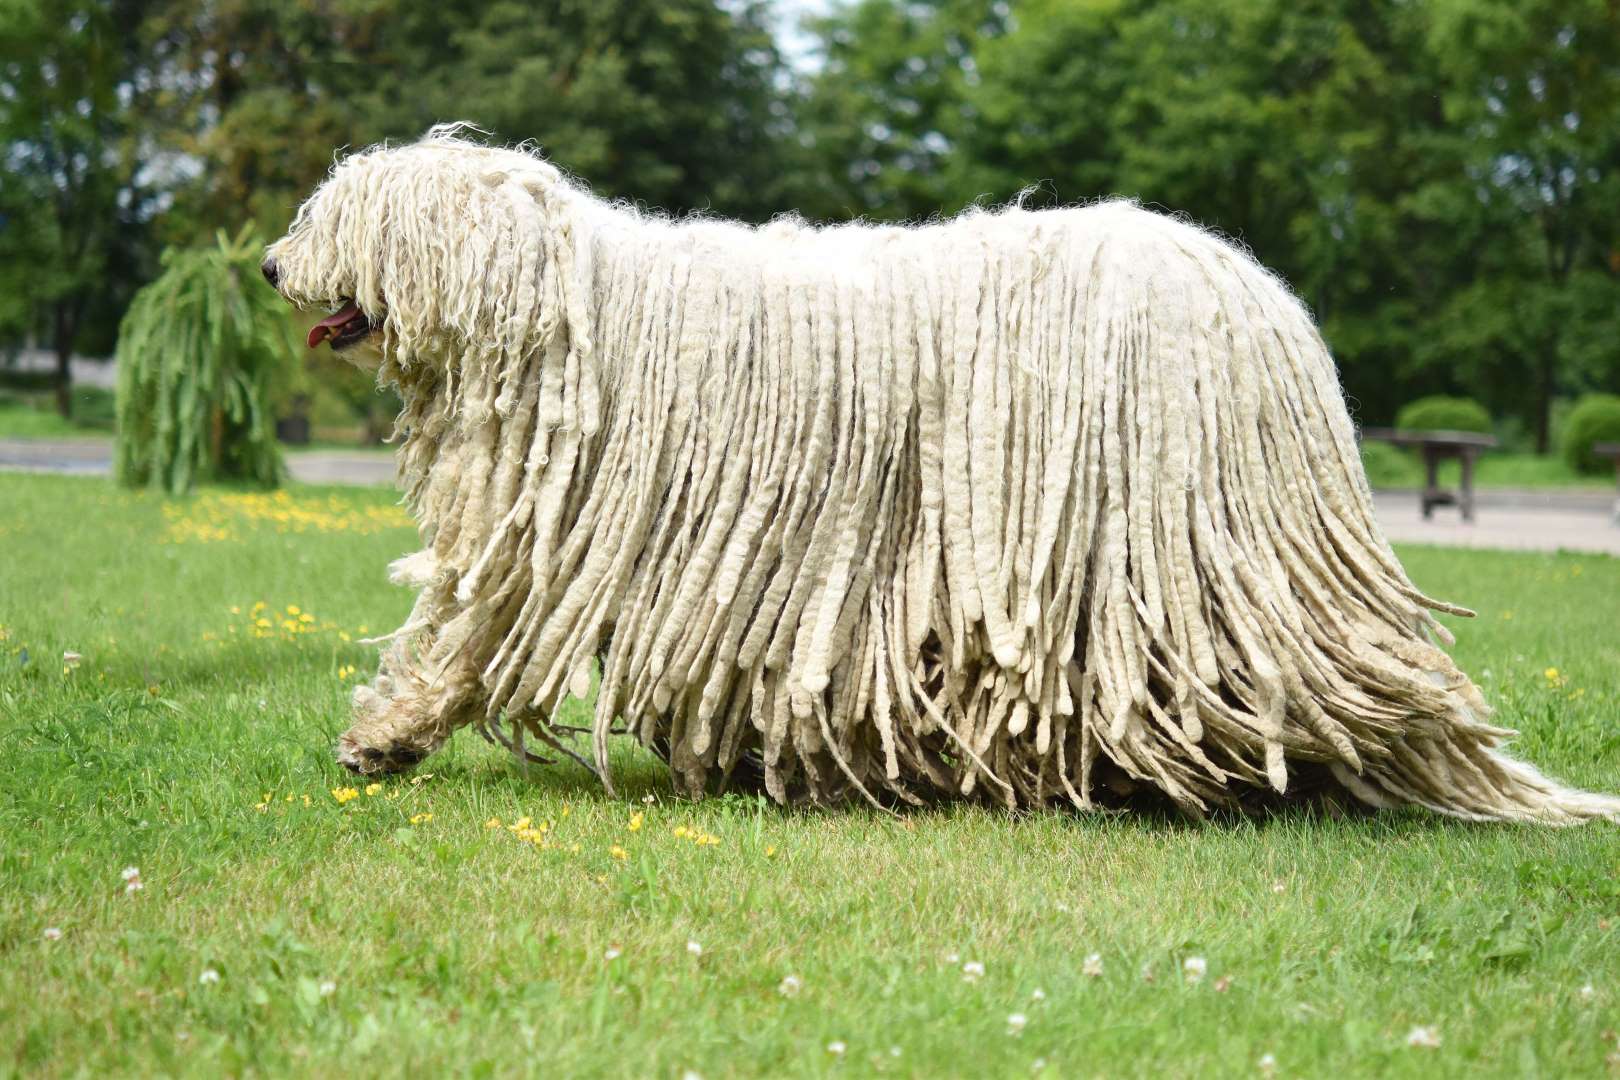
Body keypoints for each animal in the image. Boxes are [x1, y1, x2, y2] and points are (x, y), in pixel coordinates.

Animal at [259, 128, 1613, 819]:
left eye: (337, 210)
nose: (271, 265)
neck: (565, 312)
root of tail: (1263, 305)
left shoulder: (557, 532)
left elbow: (463, 625)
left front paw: (382, 736)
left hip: (1173, 553)